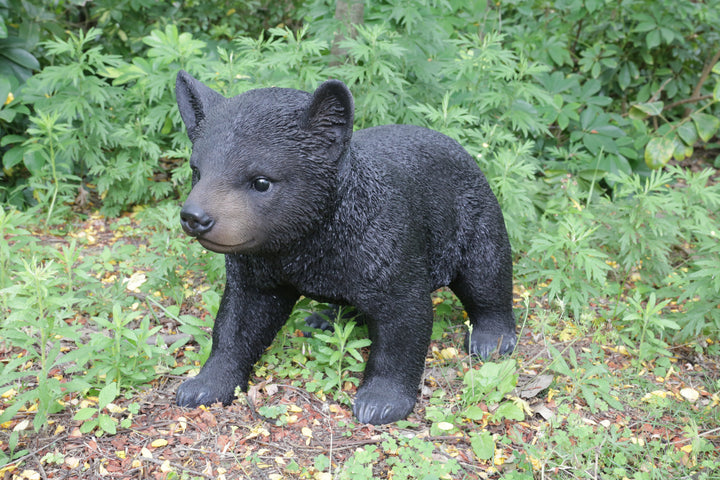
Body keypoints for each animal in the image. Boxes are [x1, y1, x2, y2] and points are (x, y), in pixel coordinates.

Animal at [175, 70, 516, 425]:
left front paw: (381, 401)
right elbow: (238, 322)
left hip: (472, 212)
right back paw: (325, 317)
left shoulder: (386, 246)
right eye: (196, 171)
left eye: (261, 181)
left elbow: (404, 324)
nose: (194, 217)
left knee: (486, 272)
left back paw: (491, 339)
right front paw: (206, 384)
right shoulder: (259, 264)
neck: (310, 241)